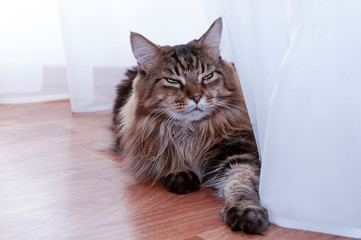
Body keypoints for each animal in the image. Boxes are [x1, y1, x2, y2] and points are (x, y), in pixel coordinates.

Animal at [112, 18, 268, 234]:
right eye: (172, 81)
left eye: (208, 76)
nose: (196, 97)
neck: (191, 132)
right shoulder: (154, 142)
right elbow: (167, 155)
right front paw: (179, 174)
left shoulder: (237, 149)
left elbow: (240, 180)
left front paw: (247, 211)